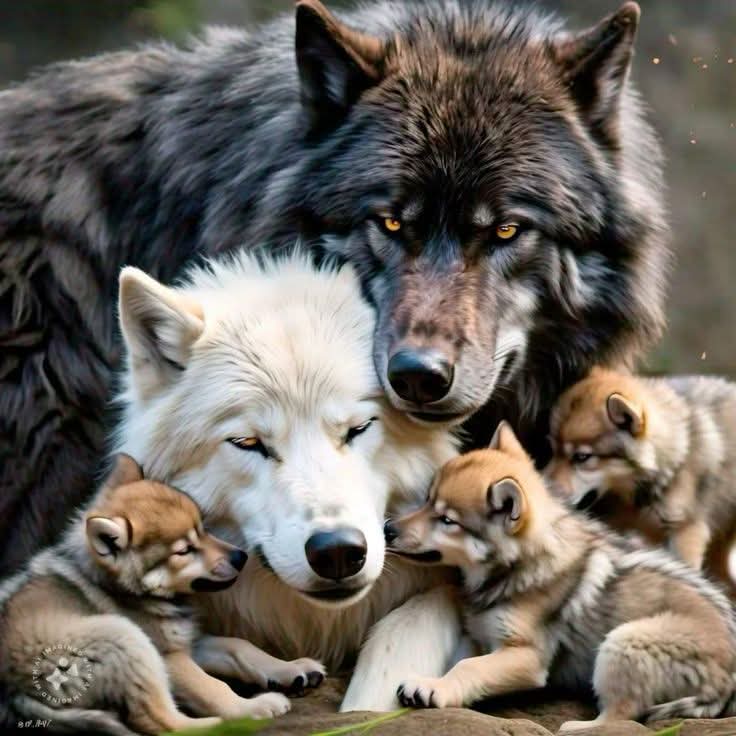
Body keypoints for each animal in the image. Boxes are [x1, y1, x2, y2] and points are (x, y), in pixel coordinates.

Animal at [0, 454, 322, 735]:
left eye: (202, 529)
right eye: (184, 550)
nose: (240, 557)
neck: (131, 593)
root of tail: (14, 693)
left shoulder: (186, 643)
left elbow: (240, 646)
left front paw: (291, 668)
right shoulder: (169, 657)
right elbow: (213, 688)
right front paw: (248, 708)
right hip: (124, 637)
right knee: (162, 723)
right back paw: (239, 718)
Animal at [386, 422, 736, 731]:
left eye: (447, 520)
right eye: (427, 500)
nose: (388, 529)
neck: (518, 567)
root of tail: (727, 683)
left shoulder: (528, 656)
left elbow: (468, 666)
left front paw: (432, 688)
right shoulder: (479, 636)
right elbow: (461, 660)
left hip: (623, 640)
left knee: (621, 715)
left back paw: (578, 727)